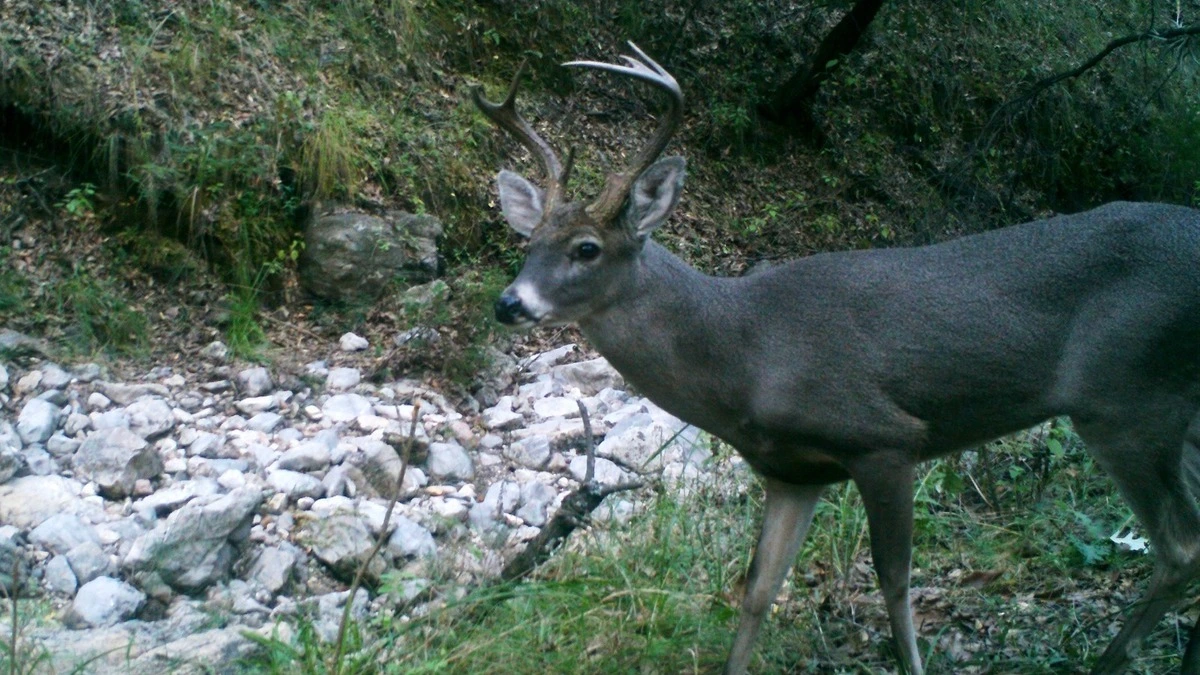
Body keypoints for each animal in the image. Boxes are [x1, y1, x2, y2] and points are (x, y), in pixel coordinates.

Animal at [468, 42, 1200, 672]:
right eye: (529, 241)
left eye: (587, 248)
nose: (508, 303)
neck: (745, 353)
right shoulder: (792, 471)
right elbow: (758, 589)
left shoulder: (885, 437)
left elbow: (895, 581)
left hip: (1127, 399)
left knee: (1180, 546)